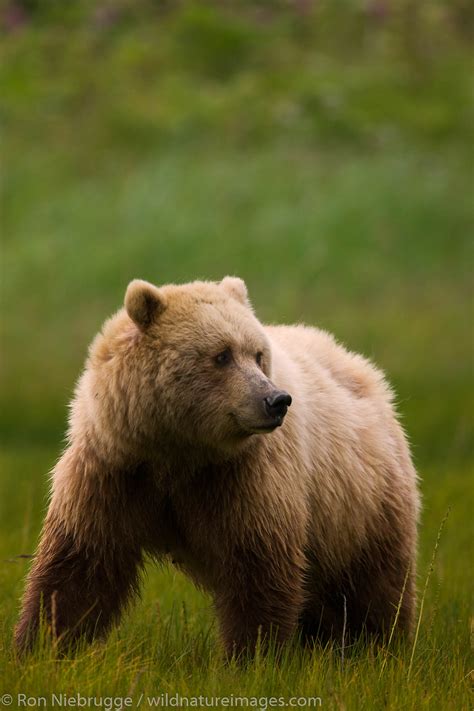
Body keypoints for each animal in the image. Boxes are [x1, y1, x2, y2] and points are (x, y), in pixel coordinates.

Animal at [14, 276, 420, 656]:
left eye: (257, 354)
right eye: (222, 355)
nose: (277, 400)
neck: (178, 451)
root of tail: (360, 365)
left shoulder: (244, 477)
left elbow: (257, 566)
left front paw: (252, 655)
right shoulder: (115, 470)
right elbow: (80, 567)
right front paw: (40, 646)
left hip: (360, 503)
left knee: (371, 586)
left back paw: (377, 645)